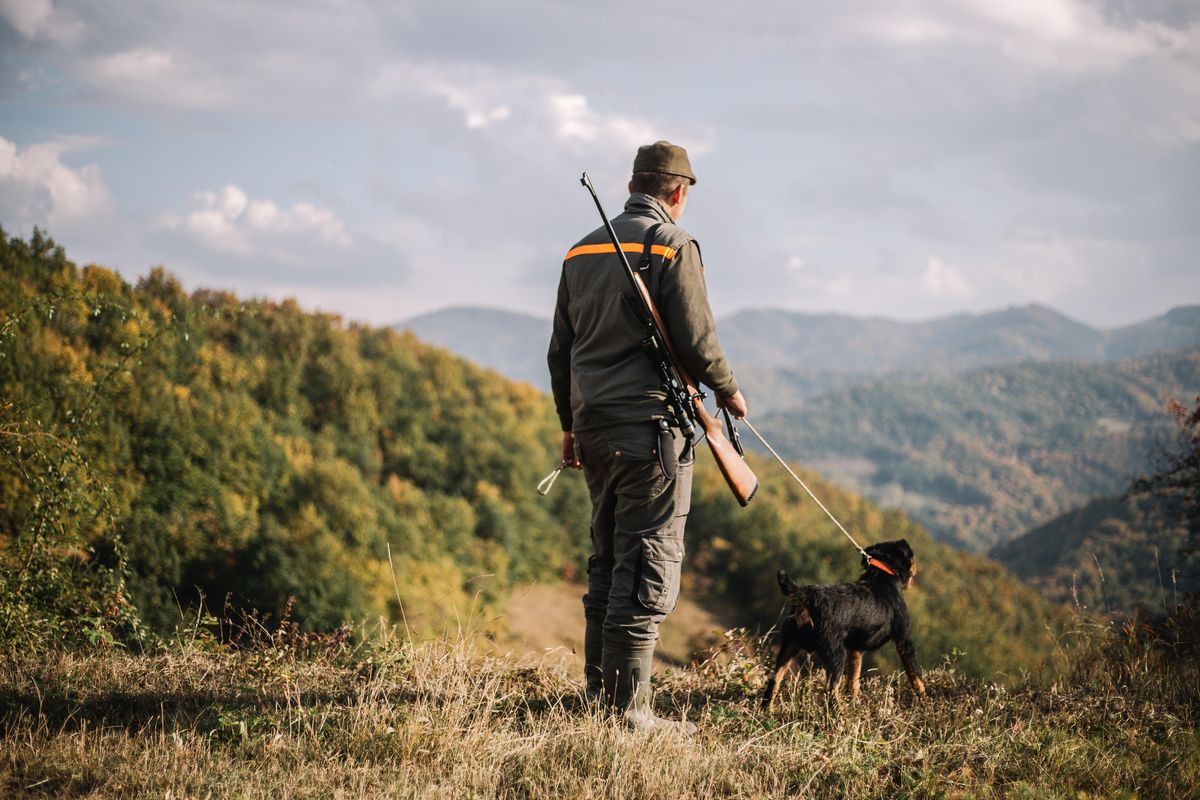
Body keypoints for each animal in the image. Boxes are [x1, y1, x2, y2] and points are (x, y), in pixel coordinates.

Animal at [763, 542, 921, 710]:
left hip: (789, 646)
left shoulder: (855, 649)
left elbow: (853, 679)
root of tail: (807, 596)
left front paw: (854, 700)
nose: (916, 567)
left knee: (773, 682)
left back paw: (768, 711)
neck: (882, 573)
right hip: (835, 653)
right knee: (831, 689)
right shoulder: (904, 642)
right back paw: (839, 712)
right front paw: (925, 702)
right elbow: (916, 678)